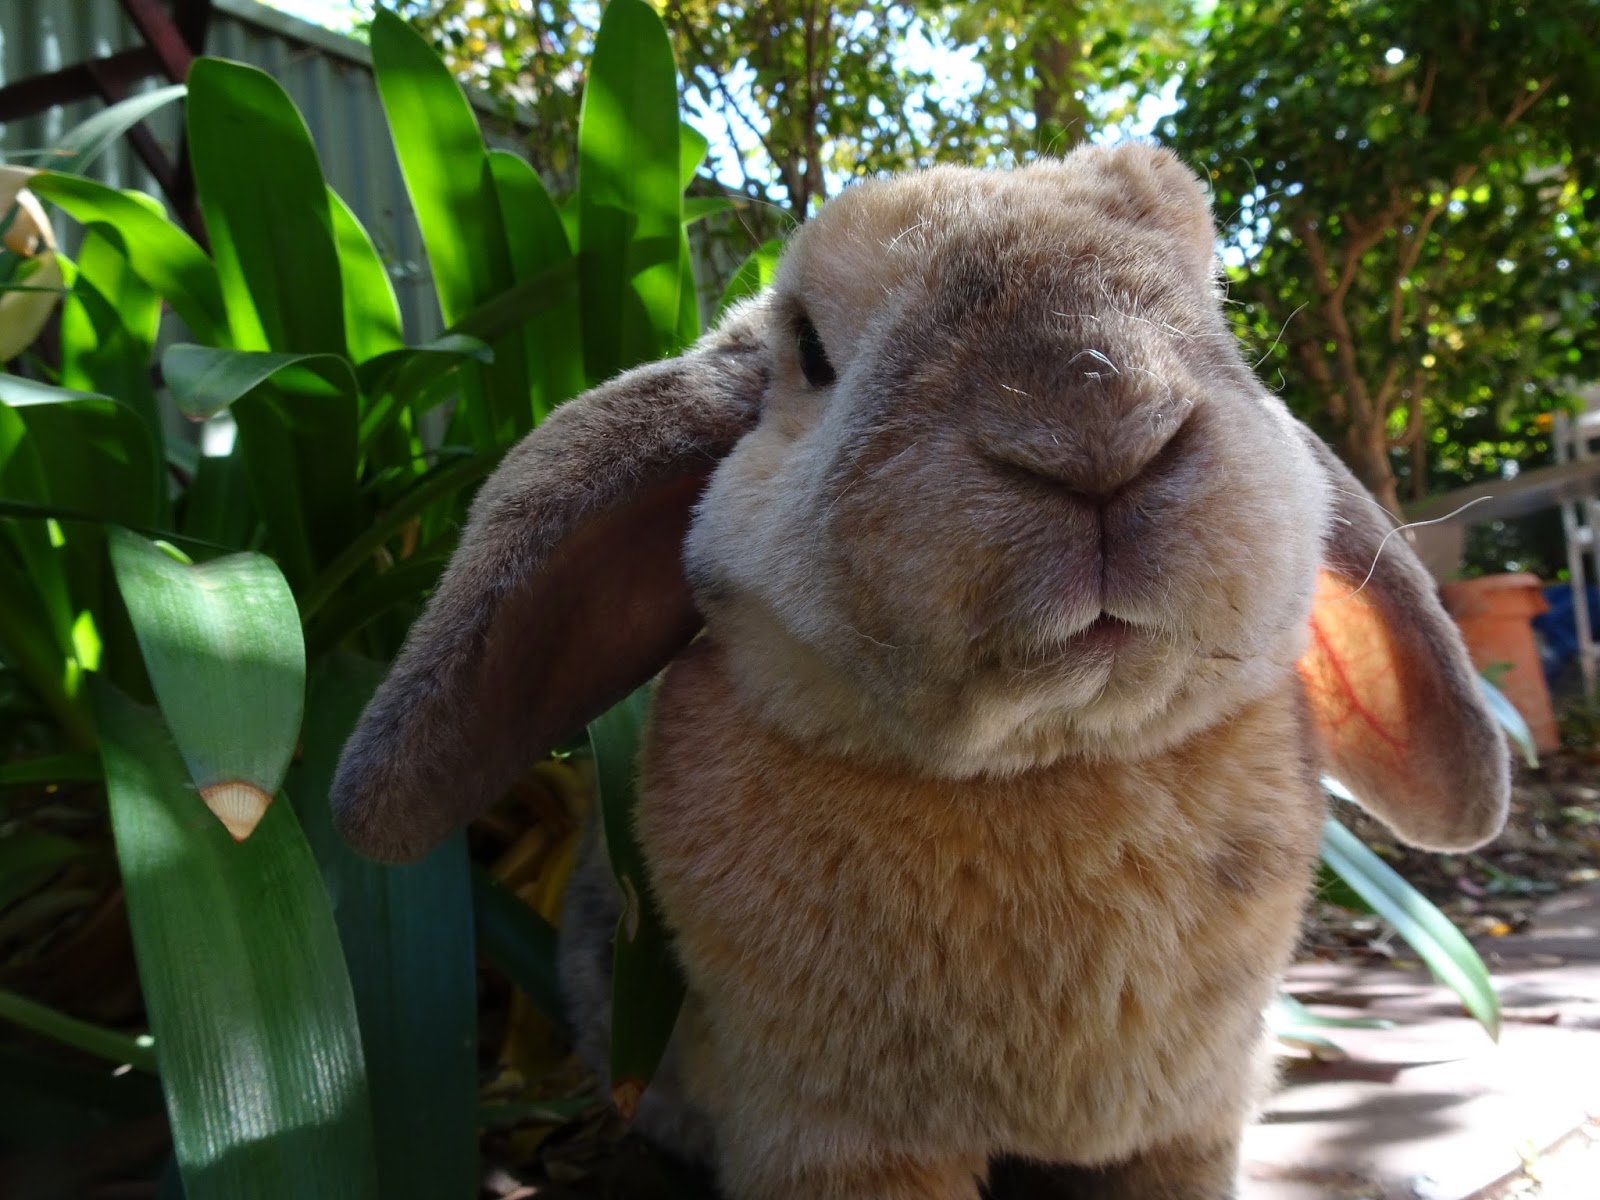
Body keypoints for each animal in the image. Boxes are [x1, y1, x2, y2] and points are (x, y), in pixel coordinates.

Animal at [331, 141, 1510, 1199]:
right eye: (811, 349)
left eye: (1215, 310)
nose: (1098, 418)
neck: (1050, 761)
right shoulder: (834, 1137)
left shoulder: (1186, 1125)